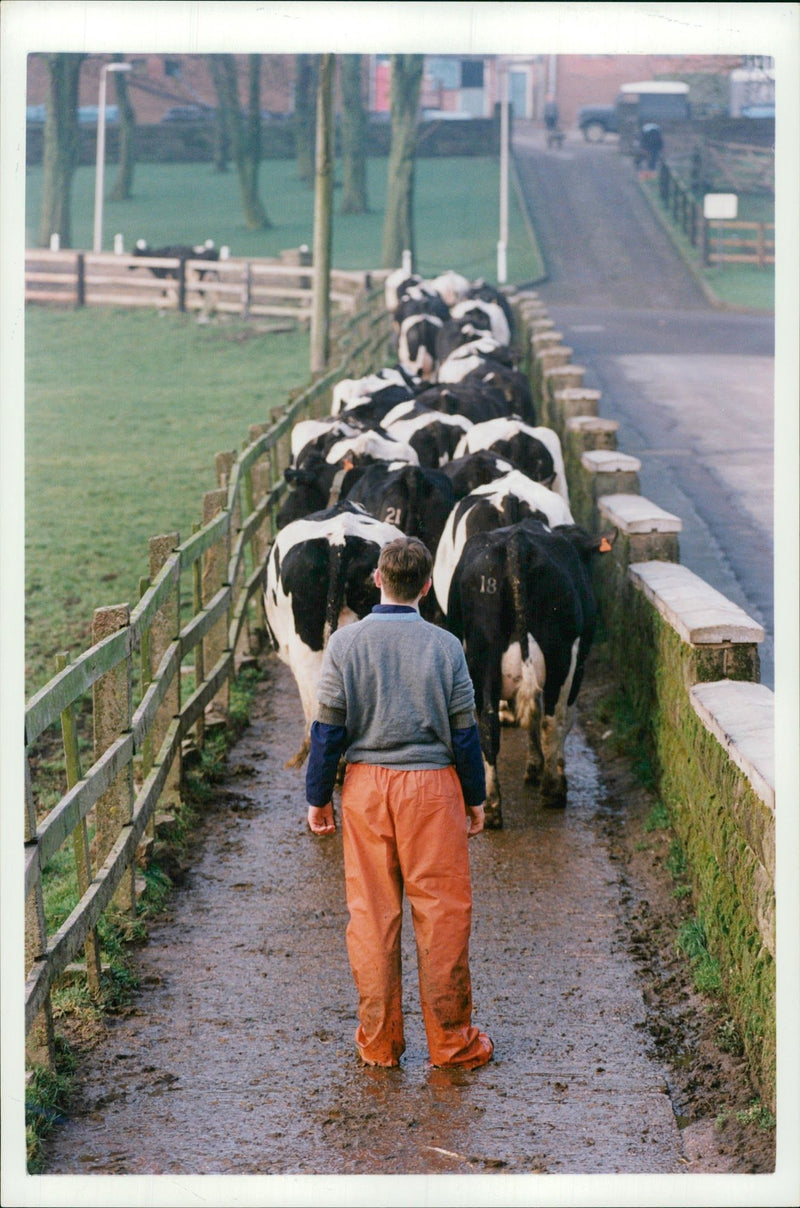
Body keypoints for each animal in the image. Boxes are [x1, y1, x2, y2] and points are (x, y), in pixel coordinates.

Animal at [444, 519, 613, 831]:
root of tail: (516, 542)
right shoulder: (579, 664)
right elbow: (560, 719)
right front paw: (545, 768)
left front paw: (534, 765)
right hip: (561, 656)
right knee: (552, 720)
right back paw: (553, 790)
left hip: (480, 659)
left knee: (487, 725)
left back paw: (492, 806)